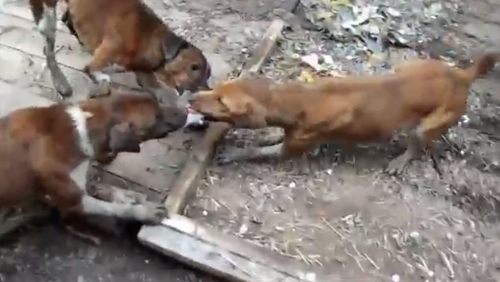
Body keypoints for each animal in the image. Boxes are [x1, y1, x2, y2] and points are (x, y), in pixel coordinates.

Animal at [0, 93, 187, 224]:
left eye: (158, 102)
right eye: (156, 118)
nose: (185, 112)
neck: (83, 128)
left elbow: (104, 188)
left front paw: (129, 196)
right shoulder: (75, 203)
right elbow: (112, 208)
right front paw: (142, 211)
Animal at [29, 0, 209, 100]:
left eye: (207, 75)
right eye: (194, 67)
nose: (207, 90)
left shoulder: (144, 72)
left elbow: (157, 90)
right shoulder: (103, 58)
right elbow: (95, 72)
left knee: (67, 18)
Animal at [188, 51, 500, 173]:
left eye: (222, 101)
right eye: (217, 89)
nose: (191, 97)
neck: (297, 100)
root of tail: (462, 75)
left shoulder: (293, 147)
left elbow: (259, 151)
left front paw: (236, 153)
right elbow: (271, 136)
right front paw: (265, 136)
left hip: (427, 125)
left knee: (418, 145)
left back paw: (400, 161)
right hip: (407, 66)